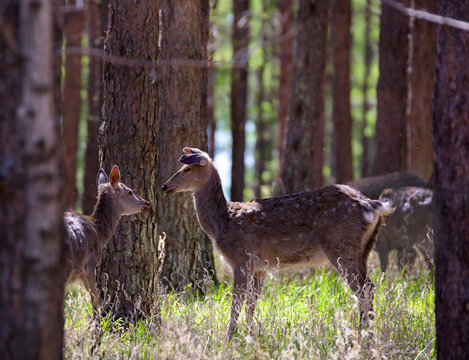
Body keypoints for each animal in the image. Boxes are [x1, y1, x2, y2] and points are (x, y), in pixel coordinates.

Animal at [162, 148, 394, 338]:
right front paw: (251, 335)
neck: (222, 222)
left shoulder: (242, 258)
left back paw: (363, 334)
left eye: (187, 168)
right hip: (364, 249)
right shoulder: (260, 267)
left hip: (342, 246)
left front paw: (229, 338)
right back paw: (366, 330)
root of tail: (373, 205)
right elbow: (251, 304)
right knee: (369, 286)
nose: (164, 186)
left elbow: (236, 303)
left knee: (364, 289)